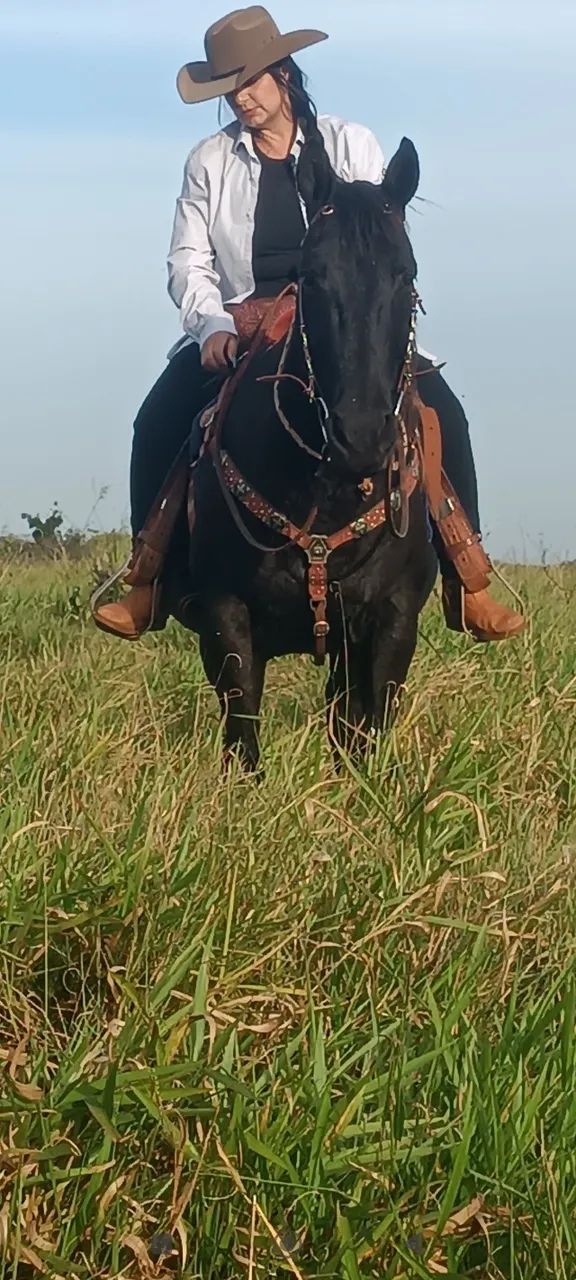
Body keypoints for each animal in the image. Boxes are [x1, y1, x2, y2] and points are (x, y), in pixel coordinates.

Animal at [169, 137, 437, 770]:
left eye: (406, 274)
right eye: (311, 277)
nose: (359, 437)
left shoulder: (390, 622)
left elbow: (367, 737)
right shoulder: (226, 619)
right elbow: (242, 737)